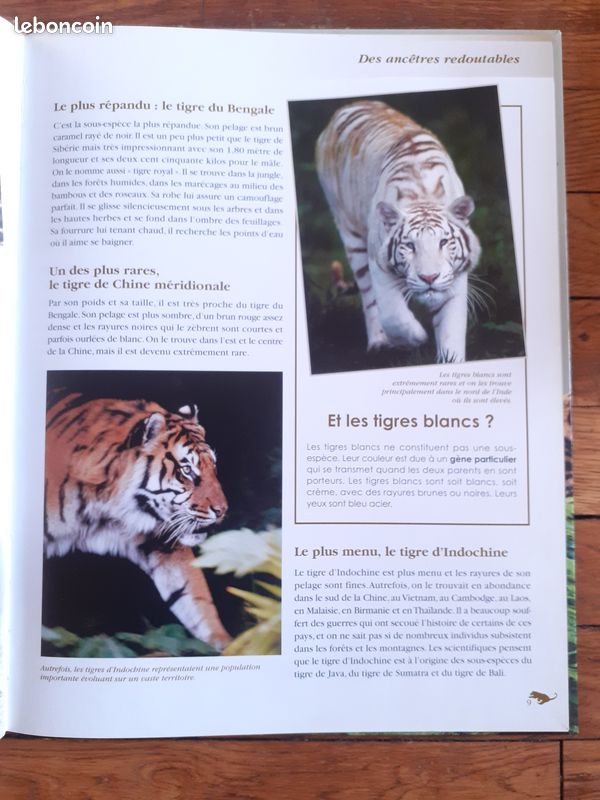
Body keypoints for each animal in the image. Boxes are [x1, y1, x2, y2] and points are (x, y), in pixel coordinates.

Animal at [44, 392, 231, 652]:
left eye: (213, 466)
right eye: (186, 470)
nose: (222, 510)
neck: (105, 507)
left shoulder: (161, 539)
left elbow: (196, 599)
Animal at [316, 99, 482, 362]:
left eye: (443, 243)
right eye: (410, 246)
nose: (429, 278)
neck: (423, 196)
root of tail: (350, 104)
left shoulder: (455, 275)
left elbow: (451, 331)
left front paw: (449, 360)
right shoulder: (378, 263)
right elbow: (393, 314)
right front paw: (414, 338)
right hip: (350, 232)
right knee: (369, 299)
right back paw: (379, 342)